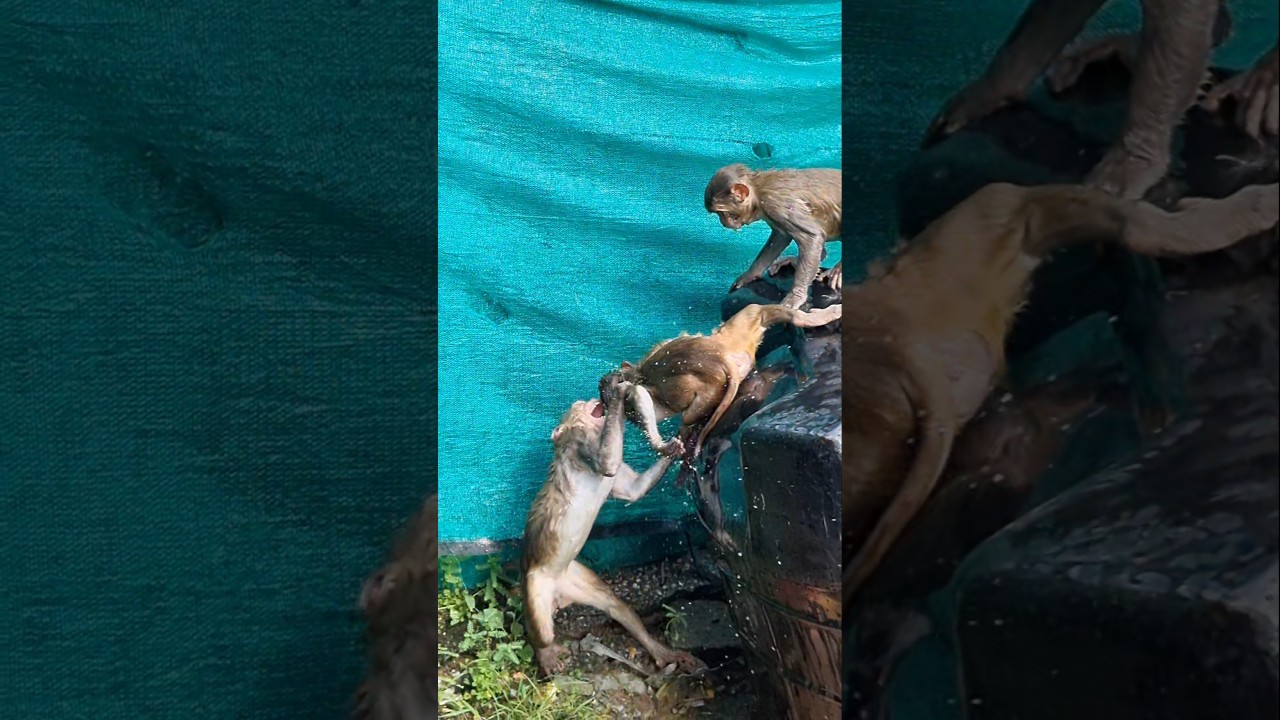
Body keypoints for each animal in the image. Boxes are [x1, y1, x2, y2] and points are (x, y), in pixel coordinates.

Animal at [521, 381, 703, 678]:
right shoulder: (581, 446)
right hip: (536, 584)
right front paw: (619, 392)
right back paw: (546, 654)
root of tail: (558, 594)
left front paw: (679, 441)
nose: (585, 399)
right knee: (542, 630)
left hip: (574, 577)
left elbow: (634, 491)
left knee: (615, 604)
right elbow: (607, 462)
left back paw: (662, 652)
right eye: (576, 406)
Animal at [704, 163, 842, 309]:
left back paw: (839, 269)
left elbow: (811, 237)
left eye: (722, 213)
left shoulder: (776, 205)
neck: (758, 190)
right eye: (718, 214)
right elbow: (780, 237)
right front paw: (750, 275)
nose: (723, 222)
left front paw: (796, 296)